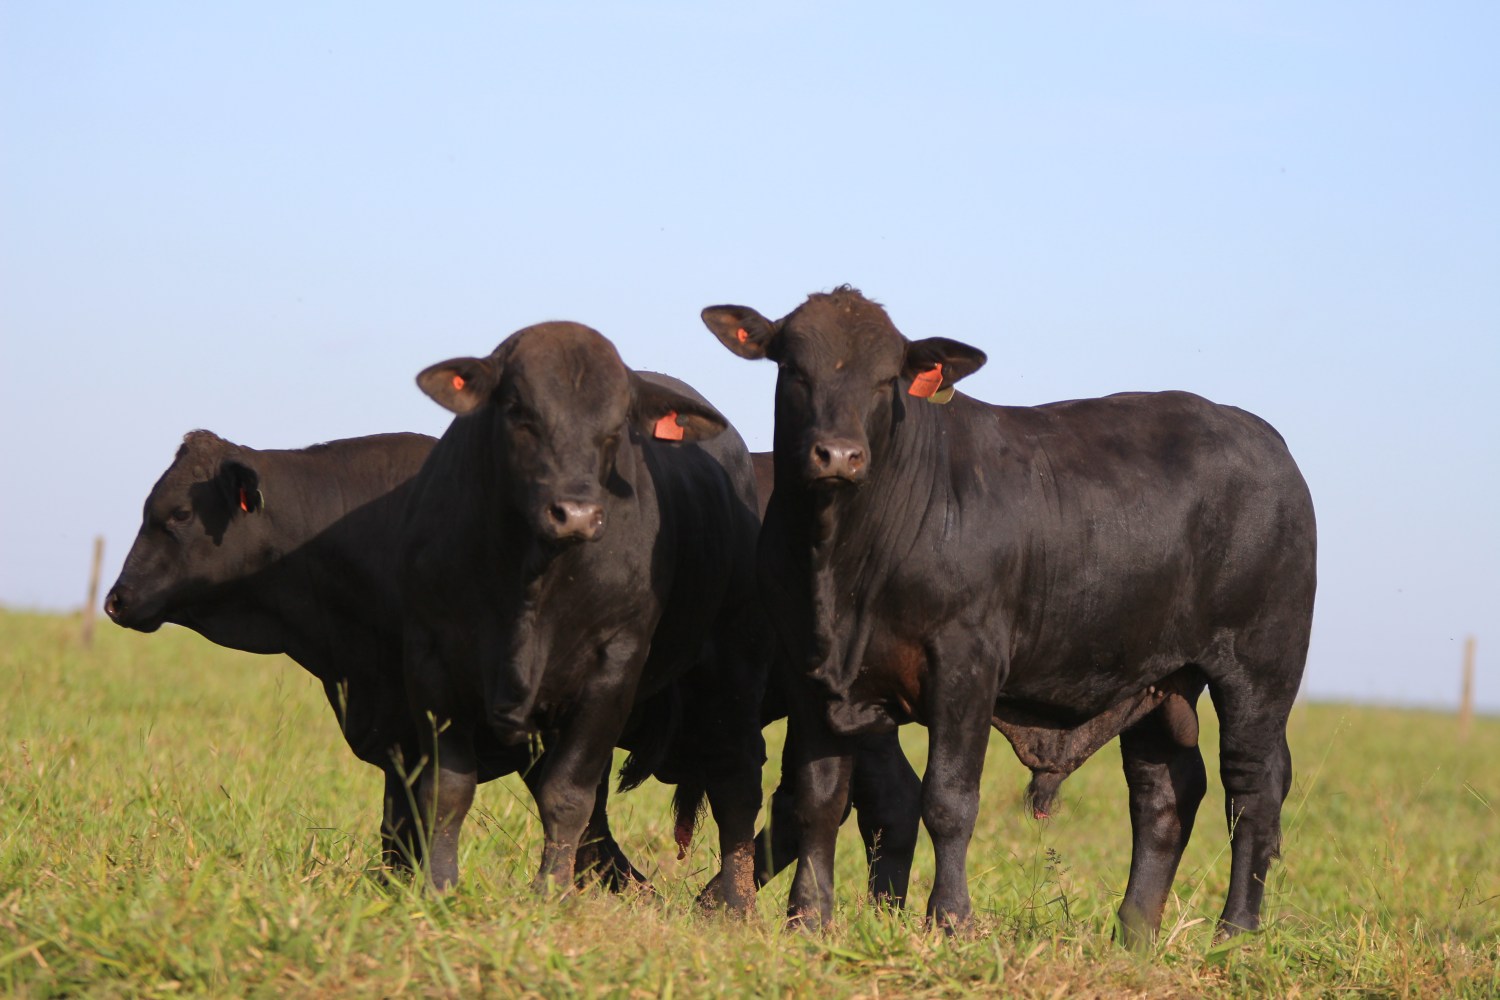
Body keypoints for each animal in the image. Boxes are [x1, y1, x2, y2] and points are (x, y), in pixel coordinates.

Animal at [399, 320, 768, 905]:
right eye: (519, 410)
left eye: (618, 426)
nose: (575, 513)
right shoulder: (428, 656)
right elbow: (447, 788)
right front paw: (439, 887)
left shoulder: (613, 665)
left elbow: (566, 793)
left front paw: (550, 893)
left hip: (735, 657)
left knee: (737, 773)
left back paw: (733, 902)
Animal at [702, 287, 1314, 947]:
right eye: (794, 369)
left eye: (888, 378)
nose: (838, 454)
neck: (844, 563)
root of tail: (1259, 434)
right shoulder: (810, 670)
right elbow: (817, 798)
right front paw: (808, 918)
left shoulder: (965, 666)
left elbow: (948, 799)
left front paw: (950, 918)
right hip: (1157, 681)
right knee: (1166, 794)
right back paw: (1132, 933)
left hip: (1259, 671)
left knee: (1252, 791)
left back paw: (1236, 932)